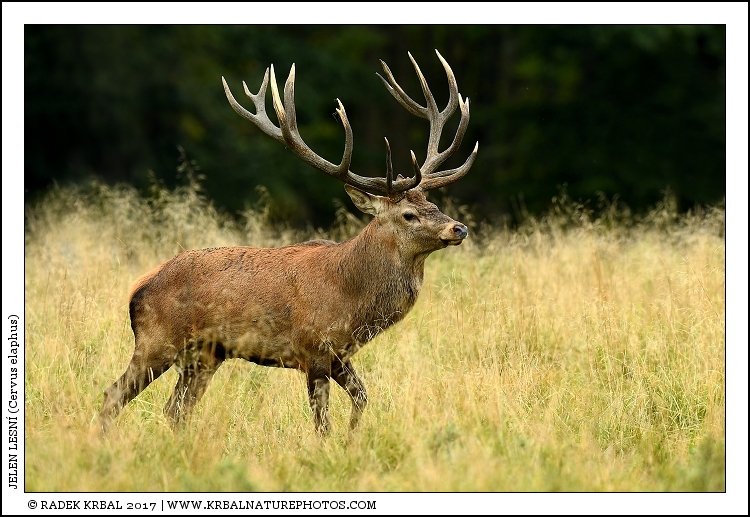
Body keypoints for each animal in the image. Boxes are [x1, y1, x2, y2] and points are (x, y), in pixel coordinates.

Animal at [99, 49, 478, 435]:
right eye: (408, 215)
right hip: (157, 339)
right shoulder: (313, 348)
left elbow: (363, 397)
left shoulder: (340, 355)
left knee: (175, 409)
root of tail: (139, 287)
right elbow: (322, 422)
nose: (458, 228)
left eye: (433, 204)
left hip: (206, 354)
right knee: (113, 395)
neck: (352, 299)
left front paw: (353, 437)